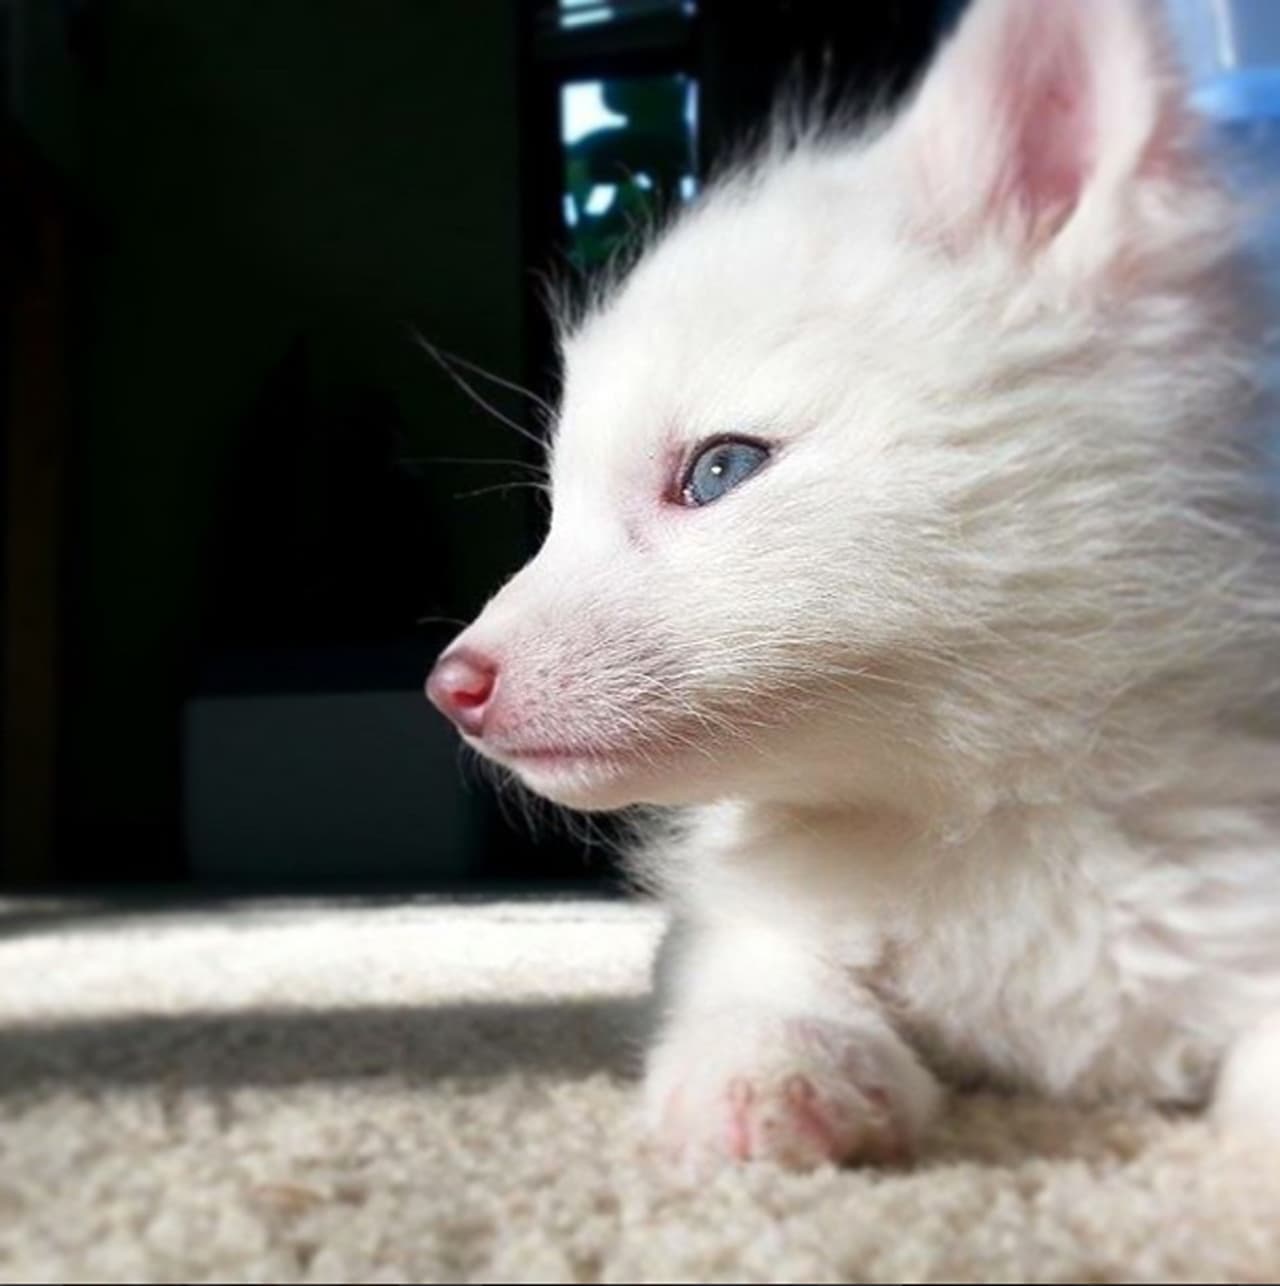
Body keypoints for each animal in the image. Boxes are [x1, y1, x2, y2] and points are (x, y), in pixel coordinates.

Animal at [427, 0, 1280, 1171]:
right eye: (556, 506)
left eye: (718, 470)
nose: (451, 684)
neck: (999, 818)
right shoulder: (722, 915)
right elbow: (755, 962)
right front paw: (774, 1056)